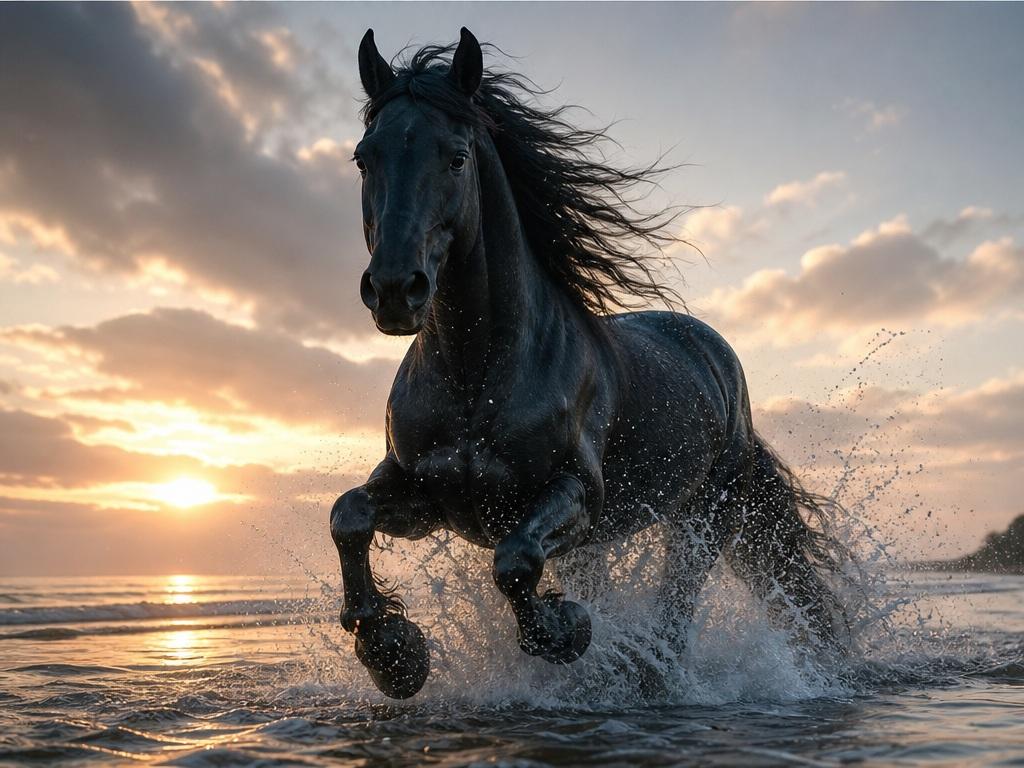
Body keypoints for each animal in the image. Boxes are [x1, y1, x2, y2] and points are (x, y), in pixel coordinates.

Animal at [330, 28, 847, 699]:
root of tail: (719, 361)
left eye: (457, 157)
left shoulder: (576, 494)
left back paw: (644, 671)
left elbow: (515, 562)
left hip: (702, 518)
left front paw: (564, 630)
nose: (395, 290)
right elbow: (349, 515)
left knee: (675, 611)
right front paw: (394, 653)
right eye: (365, 157)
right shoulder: (423, 493)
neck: (477, 375)